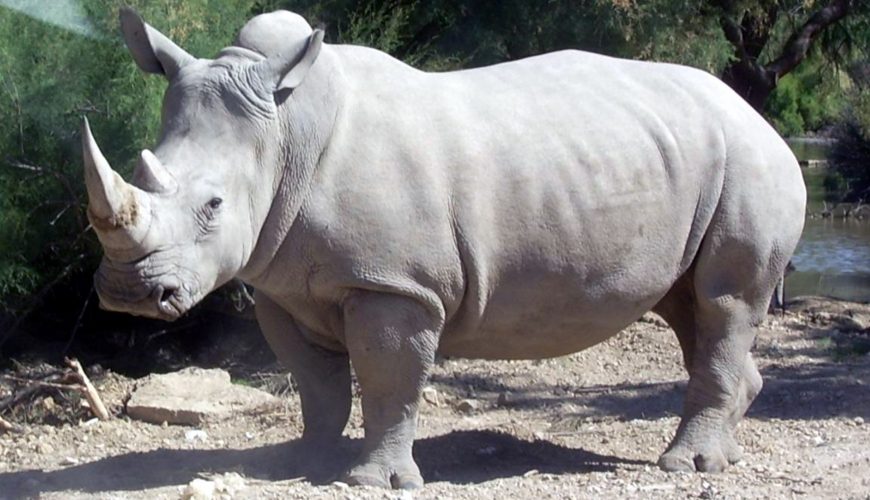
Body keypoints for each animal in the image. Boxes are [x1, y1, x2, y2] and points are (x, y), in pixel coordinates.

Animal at [82, 8, 806, 489]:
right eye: (139, 169)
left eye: (213, 207)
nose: (128, 294)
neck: (286, 131)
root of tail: (762, 119)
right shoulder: (280, 285)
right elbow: (316, 382)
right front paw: (303, 463)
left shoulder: (395, 283)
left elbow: (387, 378)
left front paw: (371, 481)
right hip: (693, 160)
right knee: (693, 309)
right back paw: (725, 454)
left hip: (751, 163)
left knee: (723, 303)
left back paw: (687, 465)